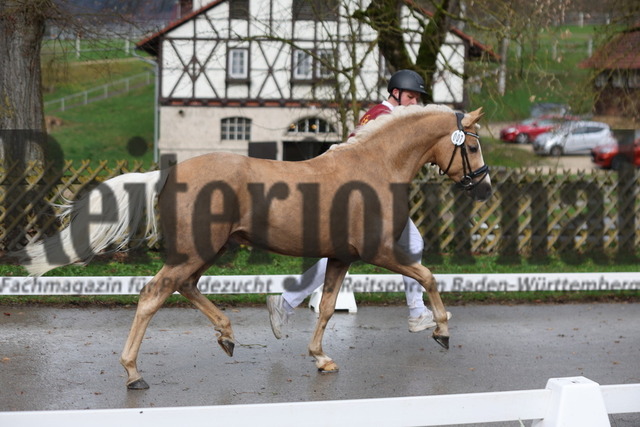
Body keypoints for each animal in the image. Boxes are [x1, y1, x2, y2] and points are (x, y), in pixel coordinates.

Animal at [18, 104, 490, 392]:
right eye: (473, 144)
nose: (483, 188)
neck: (373, 168)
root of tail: (169, 174)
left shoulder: (341, 257)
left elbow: (325, 307)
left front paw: (321, 358)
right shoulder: (380, 252)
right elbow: (428, 276)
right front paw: (441, 330)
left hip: (206, 251)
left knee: (186, 287)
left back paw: (227, 335)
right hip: (196, 252)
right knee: (154, 294)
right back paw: (134, 373)